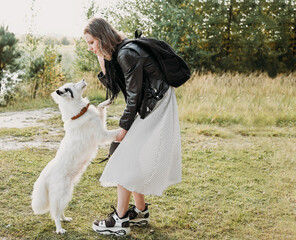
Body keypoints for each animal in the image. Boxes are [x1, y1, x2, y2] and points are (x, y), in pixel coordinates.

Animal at [31, 79, 120, 233]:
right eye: (71, 86)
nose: (83, 79)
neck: (79, 112)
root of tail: (46, 173)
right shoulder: (102, 135)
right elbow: (116, 131)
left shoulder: (100, 122)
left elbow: (100, 108)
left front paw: (107, 101)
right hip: (62, 194)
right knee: (54, 213)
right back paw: (59, 229)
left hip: (66, 194)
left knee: (59, 211)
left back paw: (65, 219)